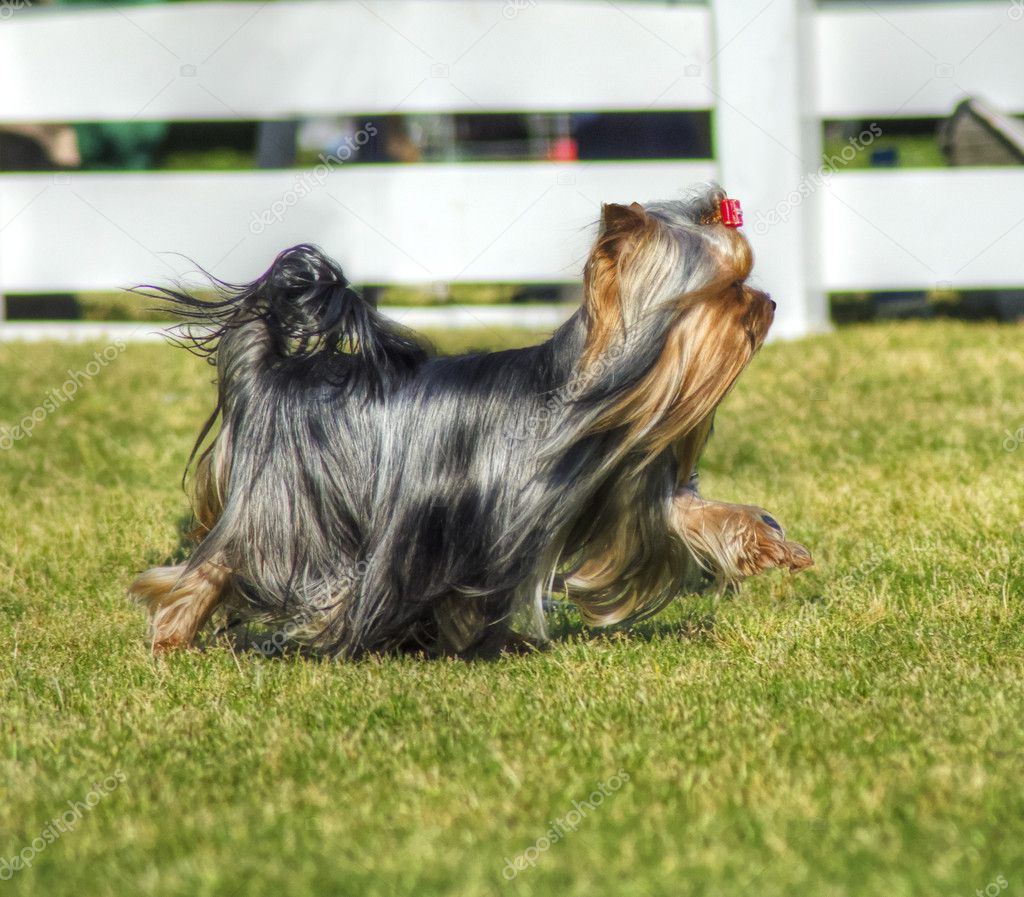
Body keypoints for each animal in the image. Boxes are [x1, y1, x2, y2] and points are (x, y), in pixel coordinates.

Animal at [132, 184, 811, 659]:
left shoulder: (628, 482)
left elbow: (696, 513)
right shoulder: (474, 522)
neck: (595, 399)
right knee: (220, 563)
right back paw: (174, 636)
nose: (770, 301)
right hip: (289, 509)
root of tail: (271, 370)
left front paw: (772, 547)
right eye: (729, 290)